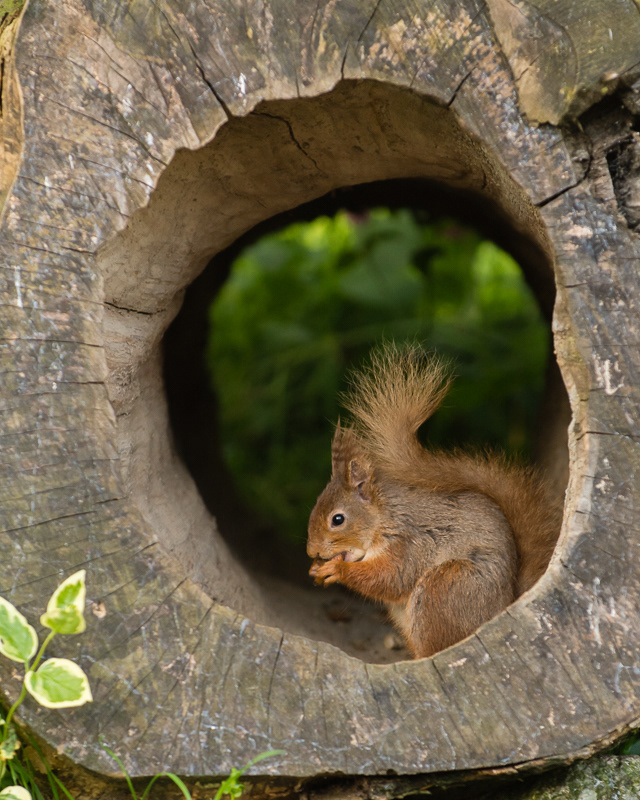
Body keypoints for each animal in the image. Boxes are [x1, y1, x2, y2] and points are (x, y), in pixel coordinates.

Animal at [307, 343, 562, 659]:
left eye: (338, 519)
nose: (312, 550)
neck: (384, 517)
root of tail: (501, 608)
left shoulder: (409, 543)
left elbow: (393, 577)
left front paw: (335, 569)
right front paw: (316, 569)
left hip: (443, 588)